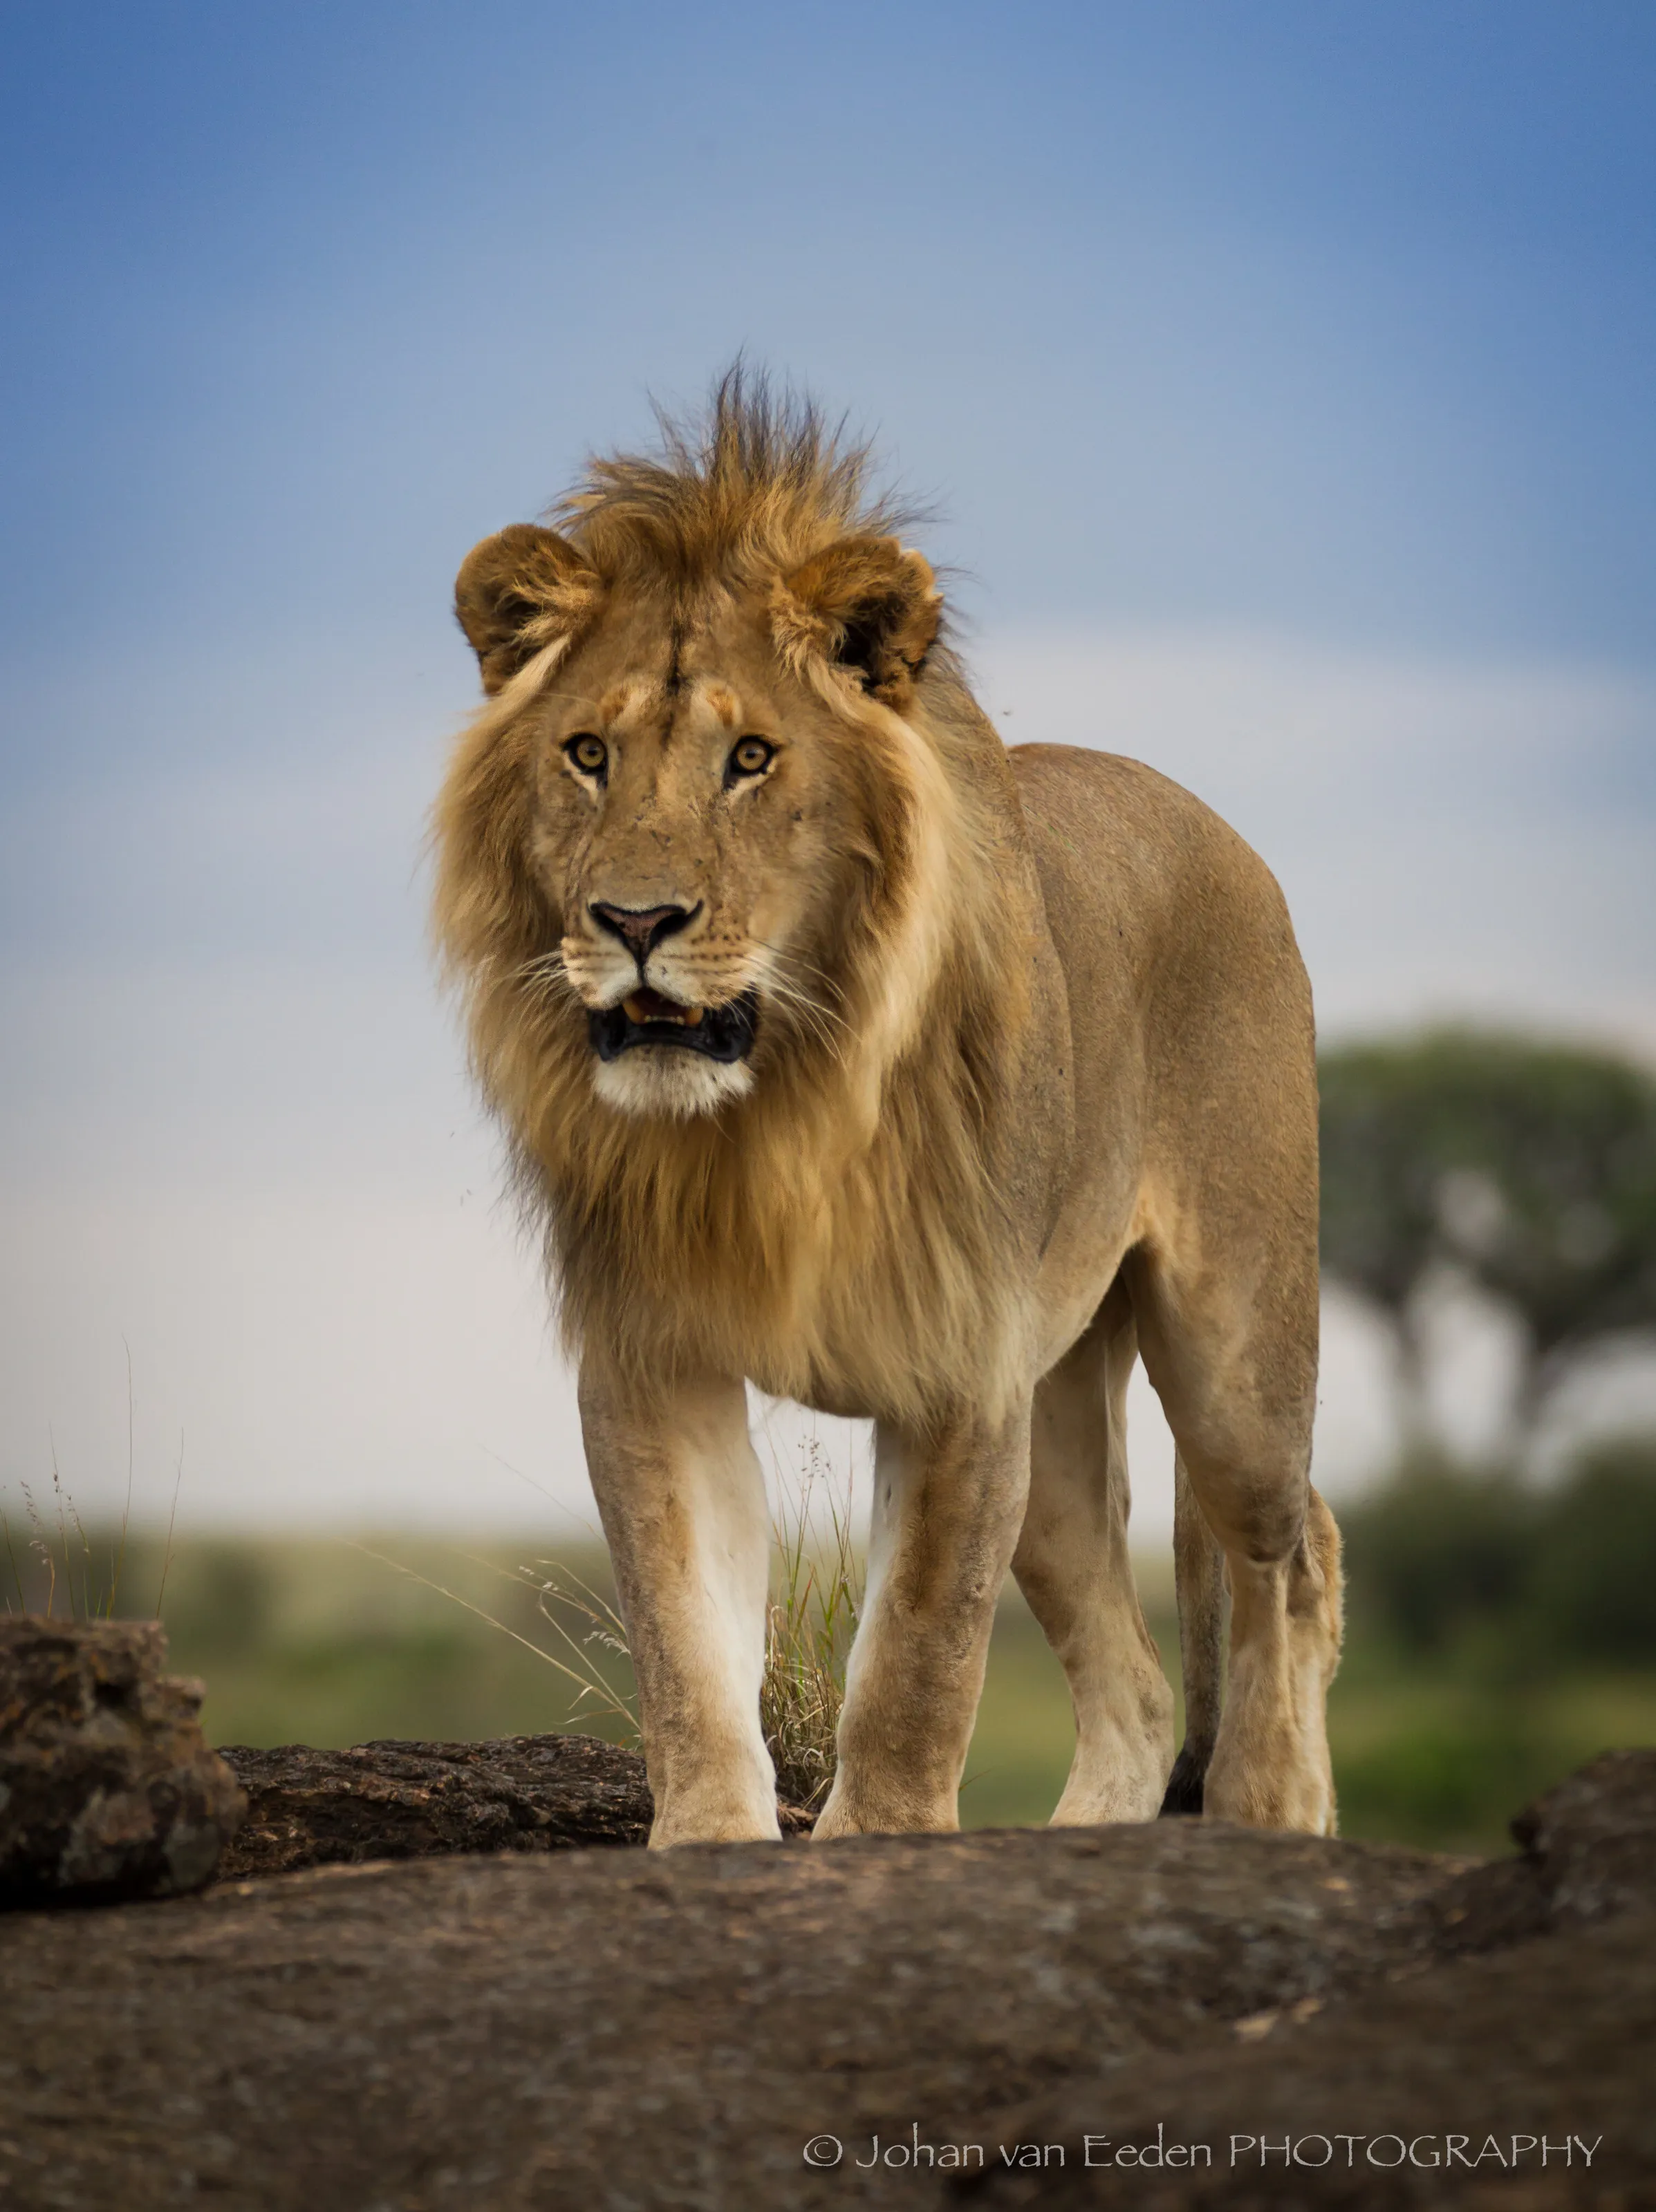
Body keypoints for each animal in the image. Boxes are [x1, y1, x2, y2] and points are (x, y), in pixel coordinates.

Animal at [432, 373, 1343, 1847]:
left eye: (752, 758)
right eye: (586, 755)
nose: (634, 922)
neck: (768, 1115)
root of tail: (1214, 823)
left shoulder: (959, 1364)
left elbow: (920, 1646)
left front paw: (882, 1843)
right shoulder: (651, 1355)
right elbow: (684, 1637)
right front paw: (709, 1843)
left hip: (1233, 1359)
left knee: (1289, 1549)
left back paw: (1276, 1810)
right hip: (1060, 1415)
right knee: (1140, 1682)